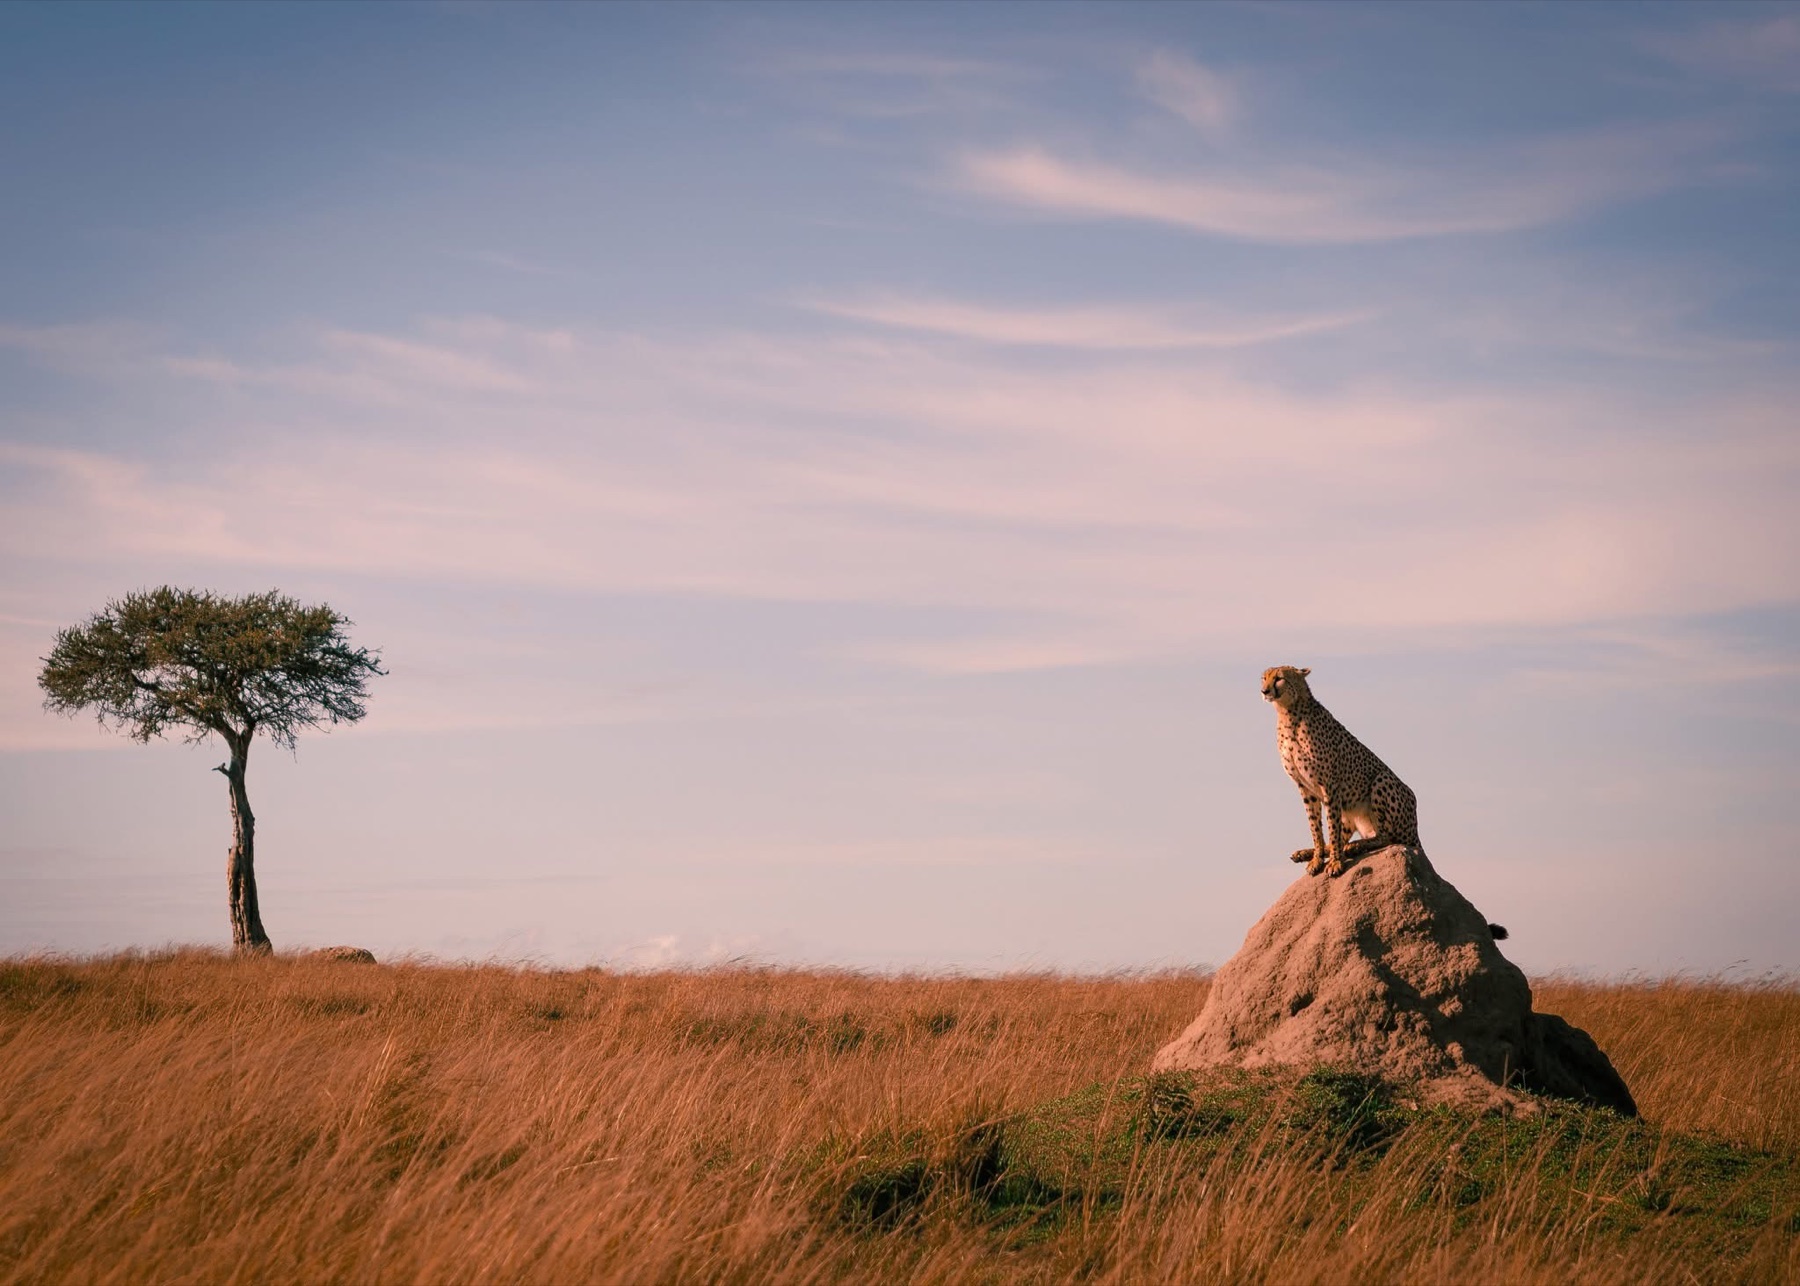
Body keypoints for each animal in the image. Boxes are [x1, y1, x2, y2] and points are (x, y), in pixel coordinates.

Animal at [1261, 665, 1422, 878]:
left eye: (1279, 678)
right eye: (1264, 678)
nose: (1264, 691)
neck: (1288, 713)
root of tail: (1415, 832)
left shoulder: (1329, 785)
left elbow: (1331, 827)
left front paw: (1335, 863)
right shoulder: (1305, 787)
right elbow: (1315, 827)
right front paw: (1317, 859)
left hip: (1383, 780)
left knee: (1387, 837)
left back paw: (1355, 846)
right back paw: (1306, 852)